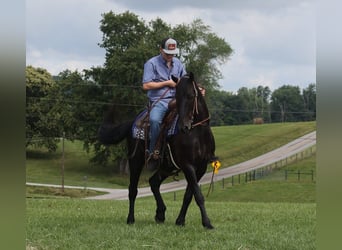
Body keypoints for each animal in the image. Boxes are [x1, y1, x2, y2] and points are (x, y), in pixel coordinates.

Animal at [98, 72, 216, 229]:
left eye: (191, 95)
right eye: (177, 97)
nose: (183, 127)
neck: (197, 133)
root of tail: (132, 122)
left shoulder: (201, 167)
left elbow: (188, 195)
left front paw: (180, 221)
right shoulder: (188, 166)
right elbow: (198, 195)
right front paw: (207, 222)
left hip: (166, 167)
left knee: (153, 182)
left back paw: (160, 213)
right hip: (136, 161)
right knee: (133, 190)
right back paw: (131, 219)